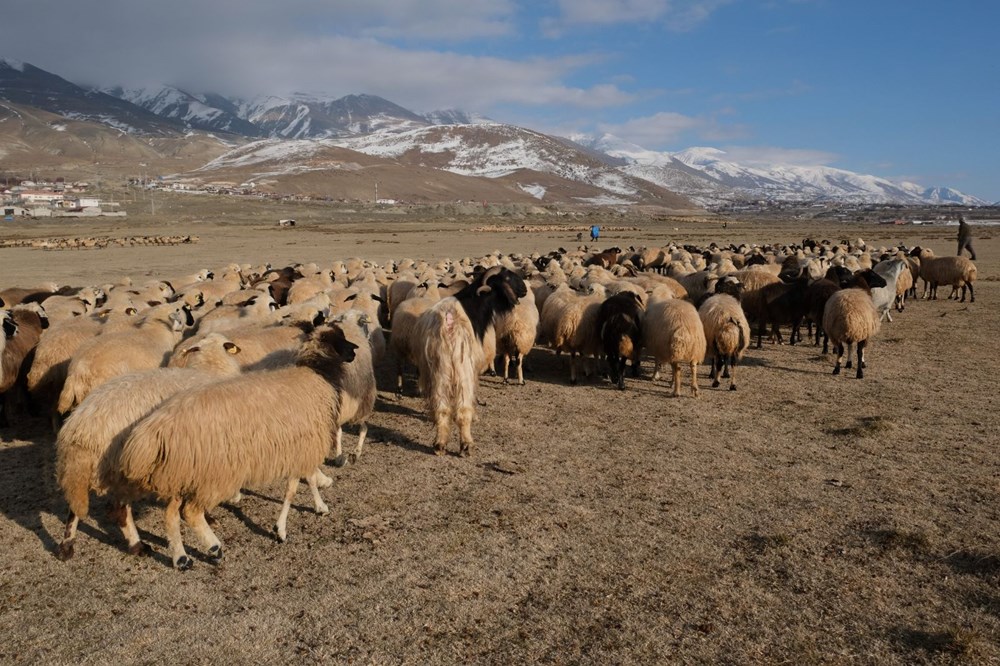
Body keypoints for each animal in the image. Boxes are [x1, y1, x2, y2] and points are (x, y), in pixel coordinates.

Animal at [55, 330, 244, 556]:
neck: (210, 368)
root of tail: (80, 428)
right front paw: (211, 515)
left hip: (82, 471)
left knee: (74, 507)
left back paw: (67, 546)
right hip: (124, 472)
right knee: (119, 511)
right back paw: (137, 546)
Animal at [114, 324, 360, 568]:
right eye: (340, 340)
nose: (355, 351)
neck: (317, 373)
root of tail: (153, 430)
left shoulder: (300, 447)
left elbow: (304, 480)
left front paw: (317, 507)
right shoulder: (306, 445)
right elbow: (294, 489)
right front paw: (283, 527)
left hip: (185, 472)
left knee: (171, 515)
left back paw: (180, 557)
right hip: (212, 474)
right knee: (190, 512)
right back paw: (214, 548)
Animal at [414, 266, 528, 456]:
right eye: (507, 277)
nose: (525, 289)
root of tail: (448, 327)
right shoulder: (473, 367)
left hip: (439, 372)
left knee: (442, 408)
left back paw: (440, 444)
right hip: (462, 370)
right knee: (463, 408)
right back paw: (466, 445)